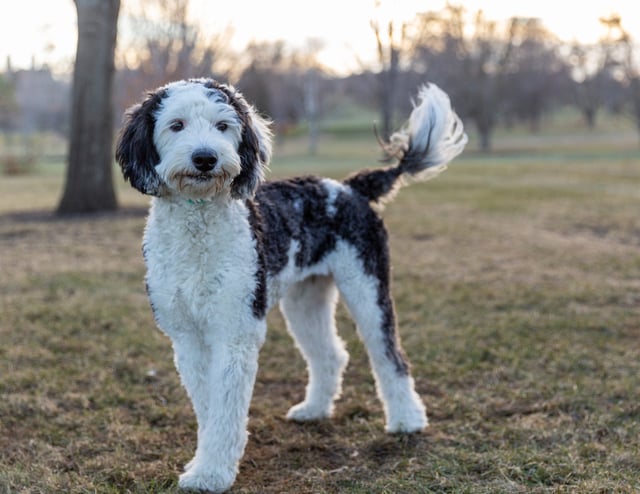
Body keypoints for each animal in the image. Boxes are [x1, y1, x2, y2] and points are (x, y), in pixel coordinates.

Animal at [114, 79, 464, 492]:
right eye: (176, 125)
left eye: (222, 126)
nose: (205, 158)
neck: (197, 228)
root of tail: (349, 187)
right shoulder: (187, 338)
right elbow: (209, 407)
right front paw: (207, 464)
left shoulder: (235, 332)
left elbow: (225, 410)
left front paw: (211, 474)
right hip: (305, 300)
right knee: (331, 355)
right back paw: (314, 409)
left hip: (368, 289)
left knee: (389, 356)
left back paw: (408, 420)